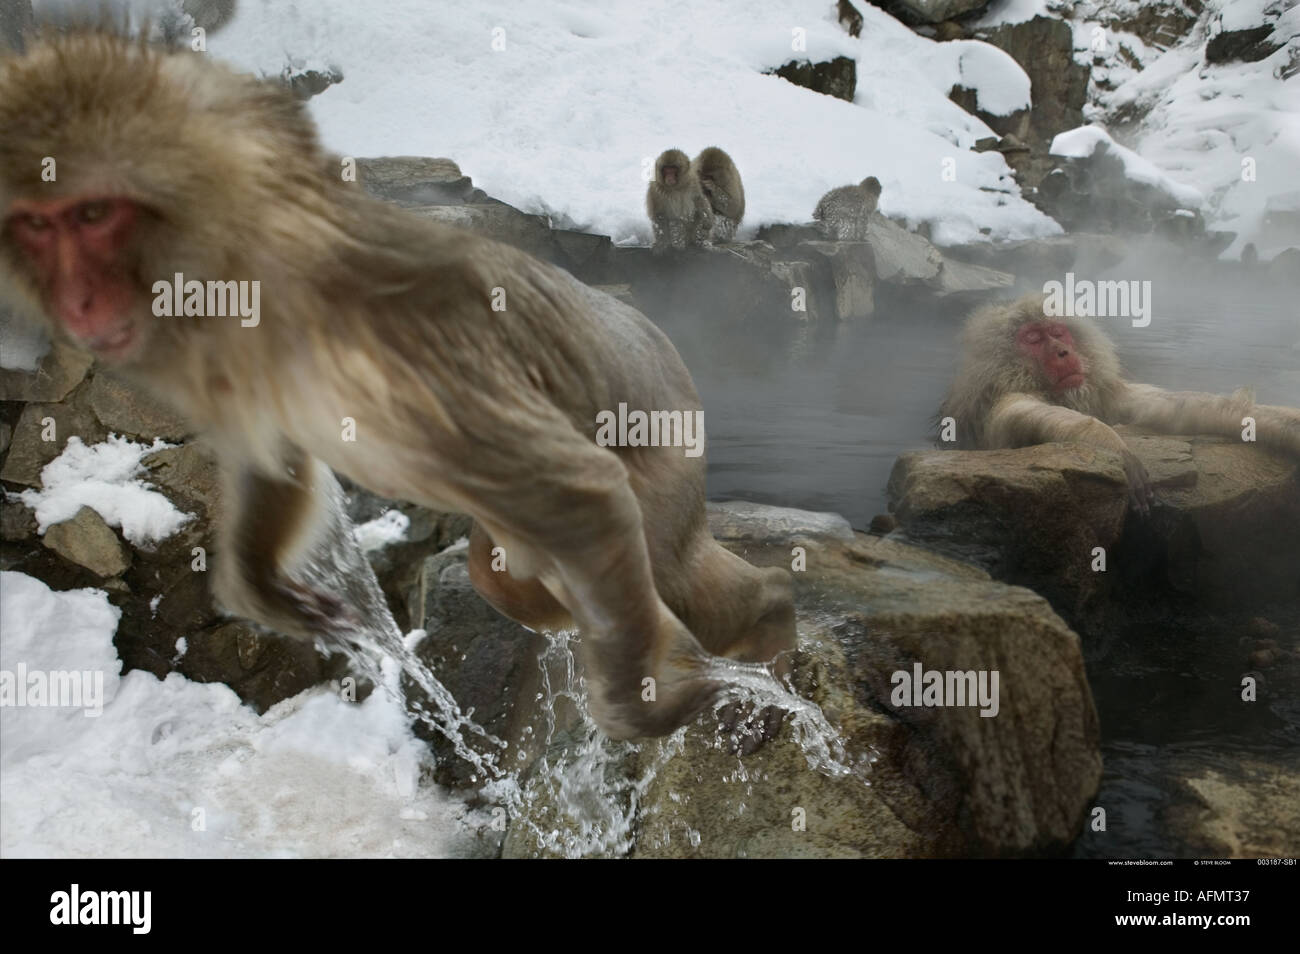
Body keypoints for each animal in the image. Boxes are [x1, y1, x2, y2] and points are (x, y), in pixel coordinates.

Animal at [0, 32, 797, 745]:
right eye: (36, 225)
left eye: (92, 217)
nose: (76, 301)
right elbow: (273, 459)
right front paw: (265, 590)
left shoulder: (420, 353)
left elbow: (582, 489)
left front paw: (639, 707)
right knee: (510, 565)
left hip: (663, 447)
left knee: (660, 561)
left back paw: (770, 616)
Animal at [938, 295, 1300, 512]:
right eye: (1033, 339)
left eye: (1058, 332)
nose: (1062, 352)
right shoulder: (1005, 398)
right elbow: (1023, 415)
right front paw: (1113, 446)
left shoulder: (1109, 395)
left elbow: (1178, 408)